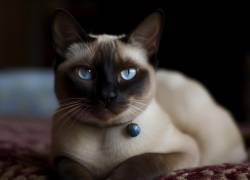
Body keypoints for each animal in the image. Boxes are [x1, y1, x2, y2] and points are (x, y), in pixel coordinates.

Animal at [50, 9, 246, 180]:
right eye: (86, 73)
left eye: (128, 73)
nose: (107, 95)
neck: (104, 134)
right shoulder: (60, 158)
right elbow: (72, 169)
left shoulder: (184, 151)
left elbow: (142, 160)